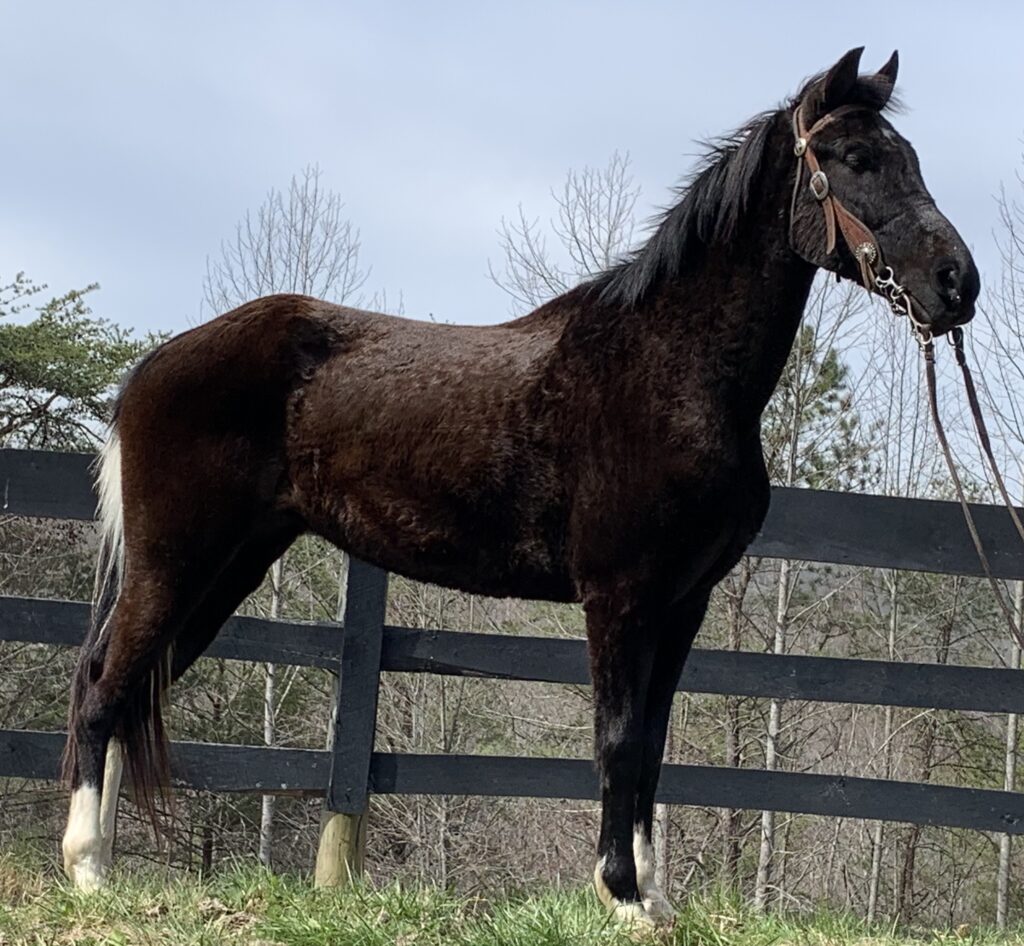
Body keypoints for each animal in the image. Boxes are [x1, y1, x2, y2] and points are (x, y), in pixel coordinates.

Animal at [61, 46, 974, 925]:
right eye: (854, 158)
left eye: (909, 156)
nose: (956, 283)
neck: (665, 367)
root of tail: (156, 364)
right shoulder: (619, 596)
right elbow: (617, 740)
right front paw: (620, 894)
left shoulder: (683, 602)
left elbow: (652, 744)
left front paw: (655, 897)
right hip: (174, 564)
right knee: (104, 686)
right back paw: (89, 870)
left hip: (228, 570)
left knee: (129, 682)